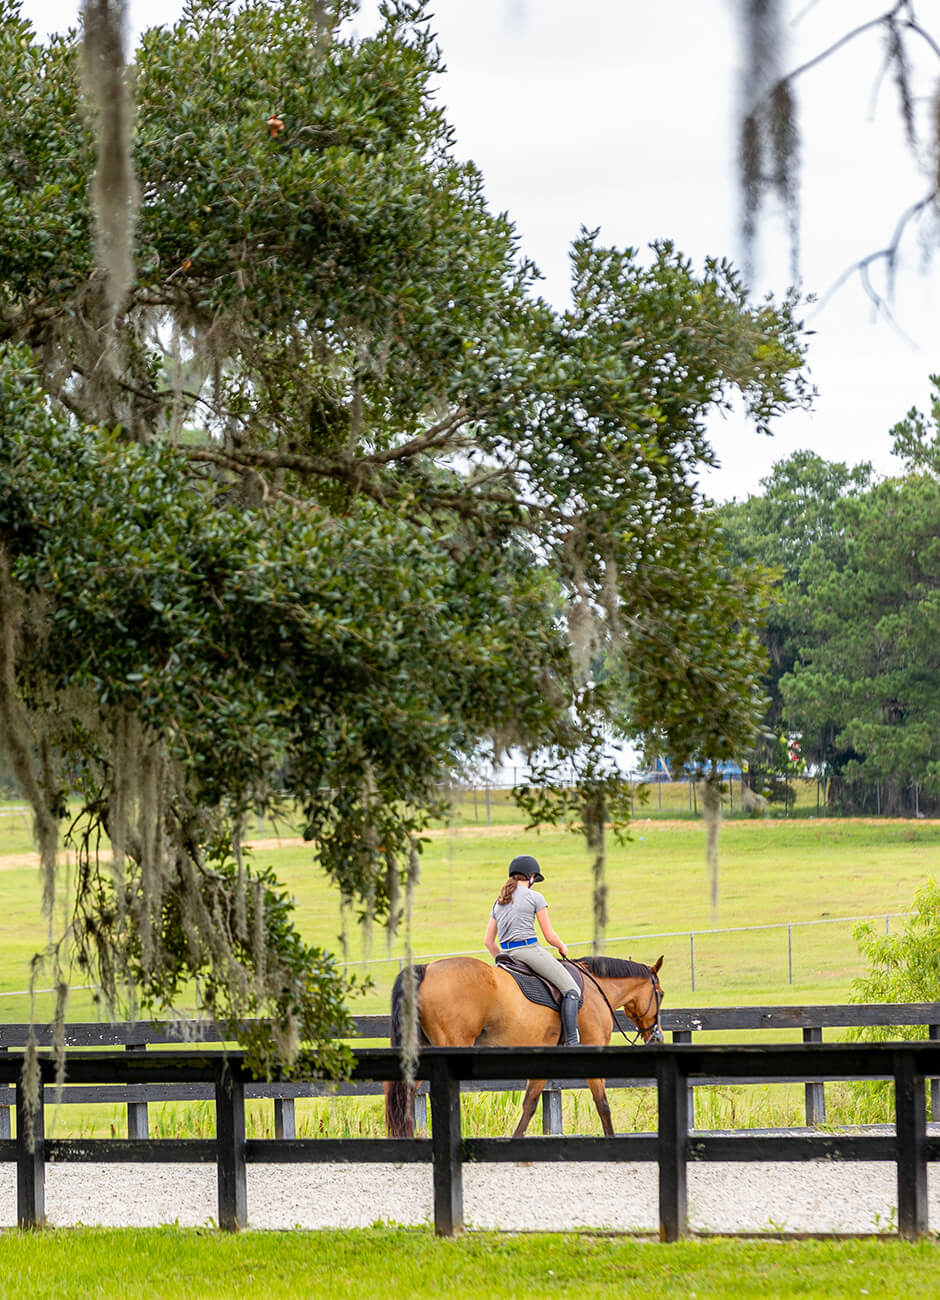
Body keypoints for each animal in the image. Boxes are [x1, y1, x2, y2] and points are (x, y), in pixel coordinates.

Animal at [382, 956, 663, 1138]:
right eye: (659, 993)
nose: (657, 1037)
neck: (597, 989)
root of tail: (427, 968)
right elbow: (603, 1104)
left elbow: (529, 1105)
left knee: (405, 1094)